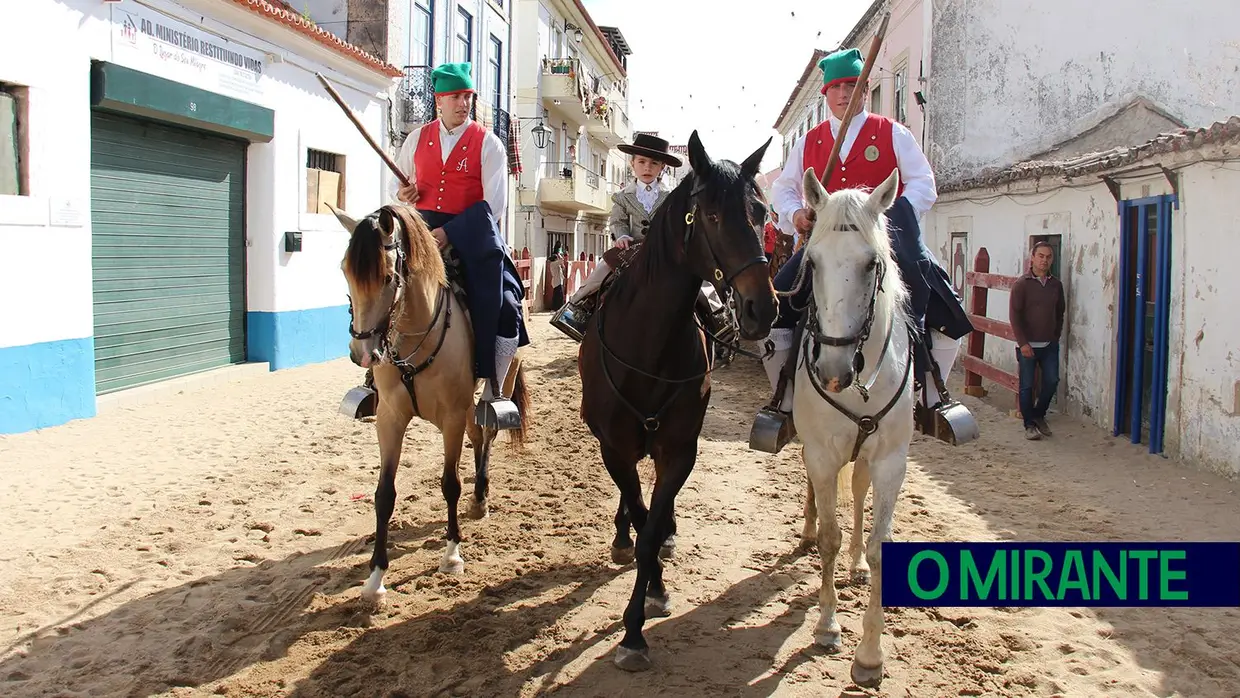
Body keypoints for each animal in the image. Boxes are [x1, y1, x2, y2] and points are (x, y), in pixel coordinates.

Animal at [329, 203, 528, 607]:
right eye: (345, 270)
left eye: (389, 277)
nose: (362, 352)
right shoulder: (390, 419)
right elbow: (384, 494)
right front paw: (376, 579)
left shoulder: (450, 417)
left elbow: (450, 483)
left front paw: (452, 555)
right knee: (478, 435)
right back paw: (478, 498)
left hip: (496, 384)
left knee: (487, 432)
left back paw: (481, 494)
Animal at [577, 131, 773, 669]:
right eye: (711, 215)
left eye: (761, 213)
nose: (763, 308)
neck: (650, 342)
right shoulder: (615, 446)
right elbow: (639, 513)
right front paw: (638, 619)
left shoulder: (681, 448)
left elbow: (653, 525)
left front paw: (641, 618)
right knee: (632, 501)